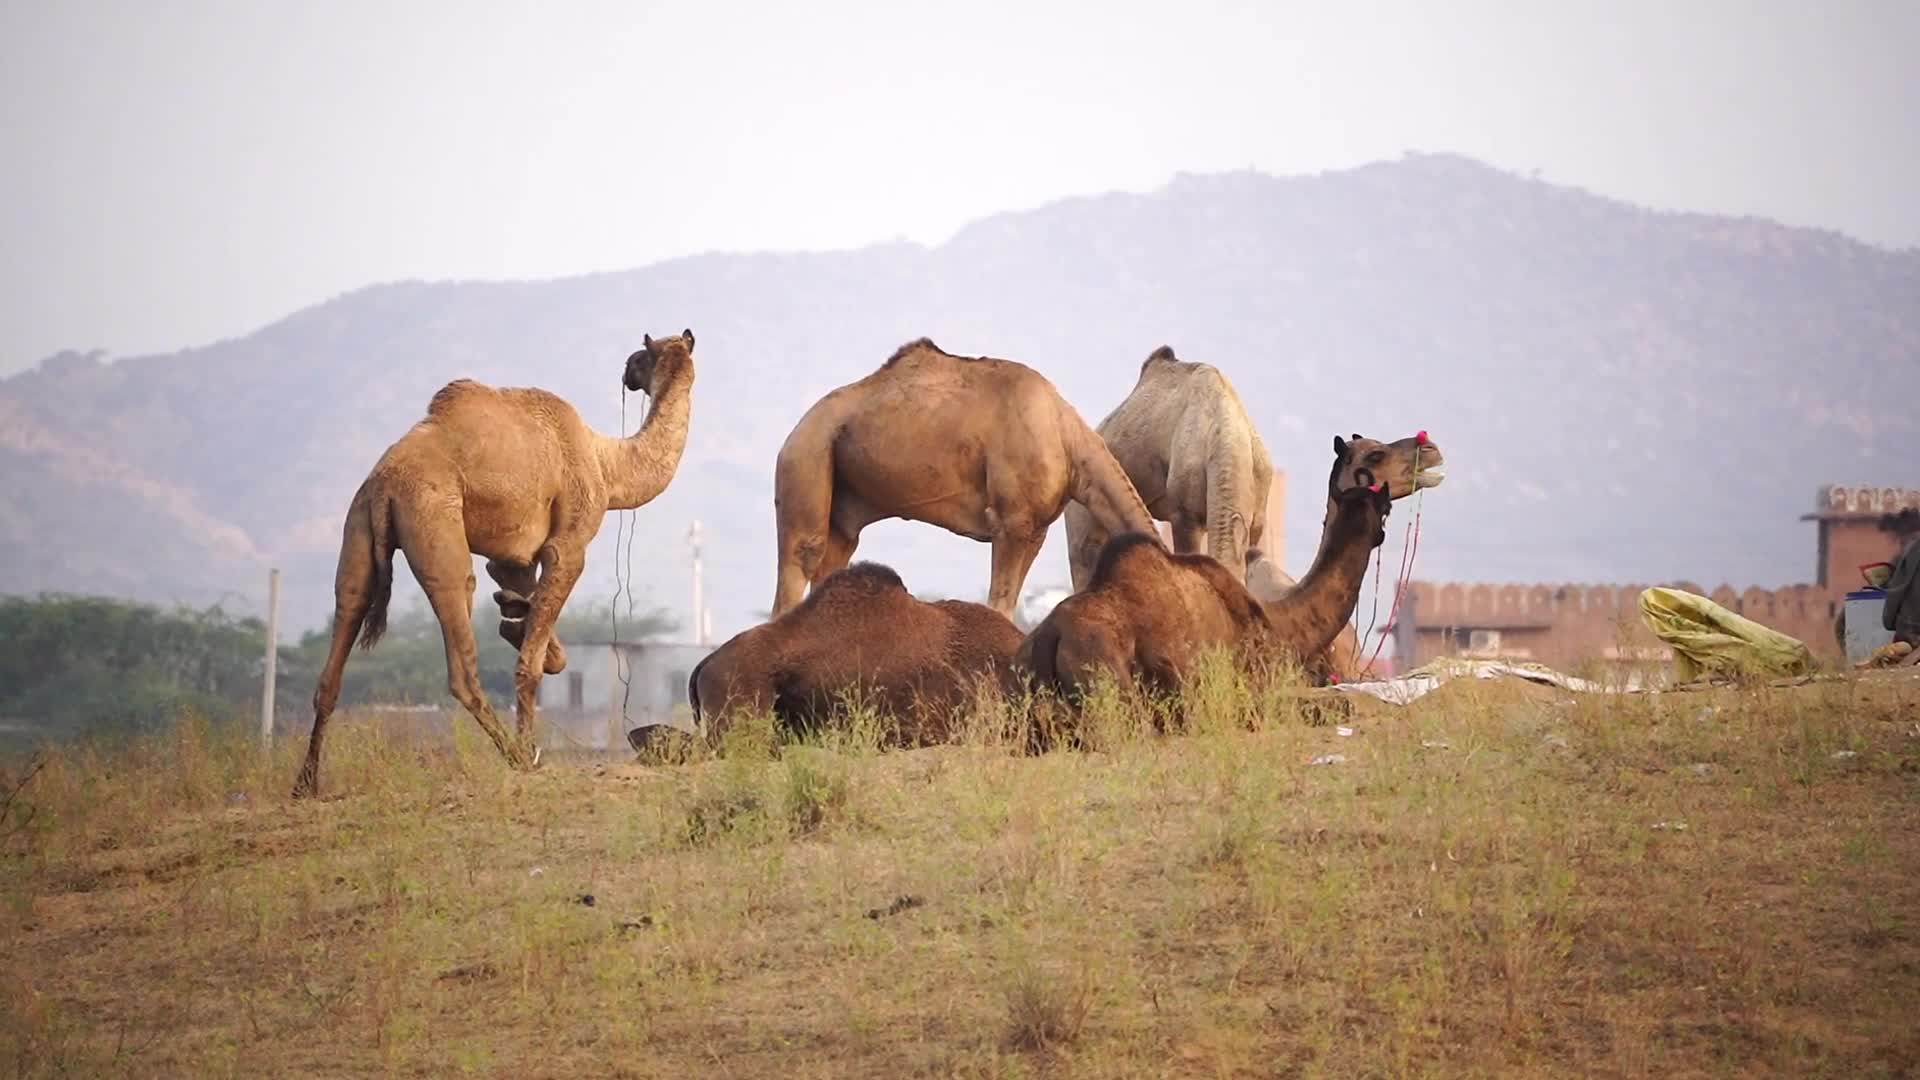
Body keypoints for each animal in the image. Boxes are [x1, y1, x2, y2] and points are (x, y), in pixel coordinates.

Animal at [294, 330, 697, 797]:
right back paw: (518, 756)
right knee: (460, 637)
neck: (605, 464)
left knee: (344, 621)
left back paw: (305, 783)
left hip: (357, 523)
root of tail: (385, 484)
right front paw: (529, 736)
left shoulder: (514, 557)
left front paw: (514, 616)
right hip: (434, 517)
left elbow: (530, 619)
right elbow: (531, 663)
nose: (628, 369)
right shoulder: (569, 542)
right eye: (643, 356)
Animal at [770, 337, 1159, 620]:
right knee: (800, 561)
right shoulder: (1011, 520)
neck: (1068, 439)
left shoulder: (1037, 528)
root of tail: (792, 435)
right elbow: (999, 605)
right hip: (806, 459)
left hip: (842, 511)